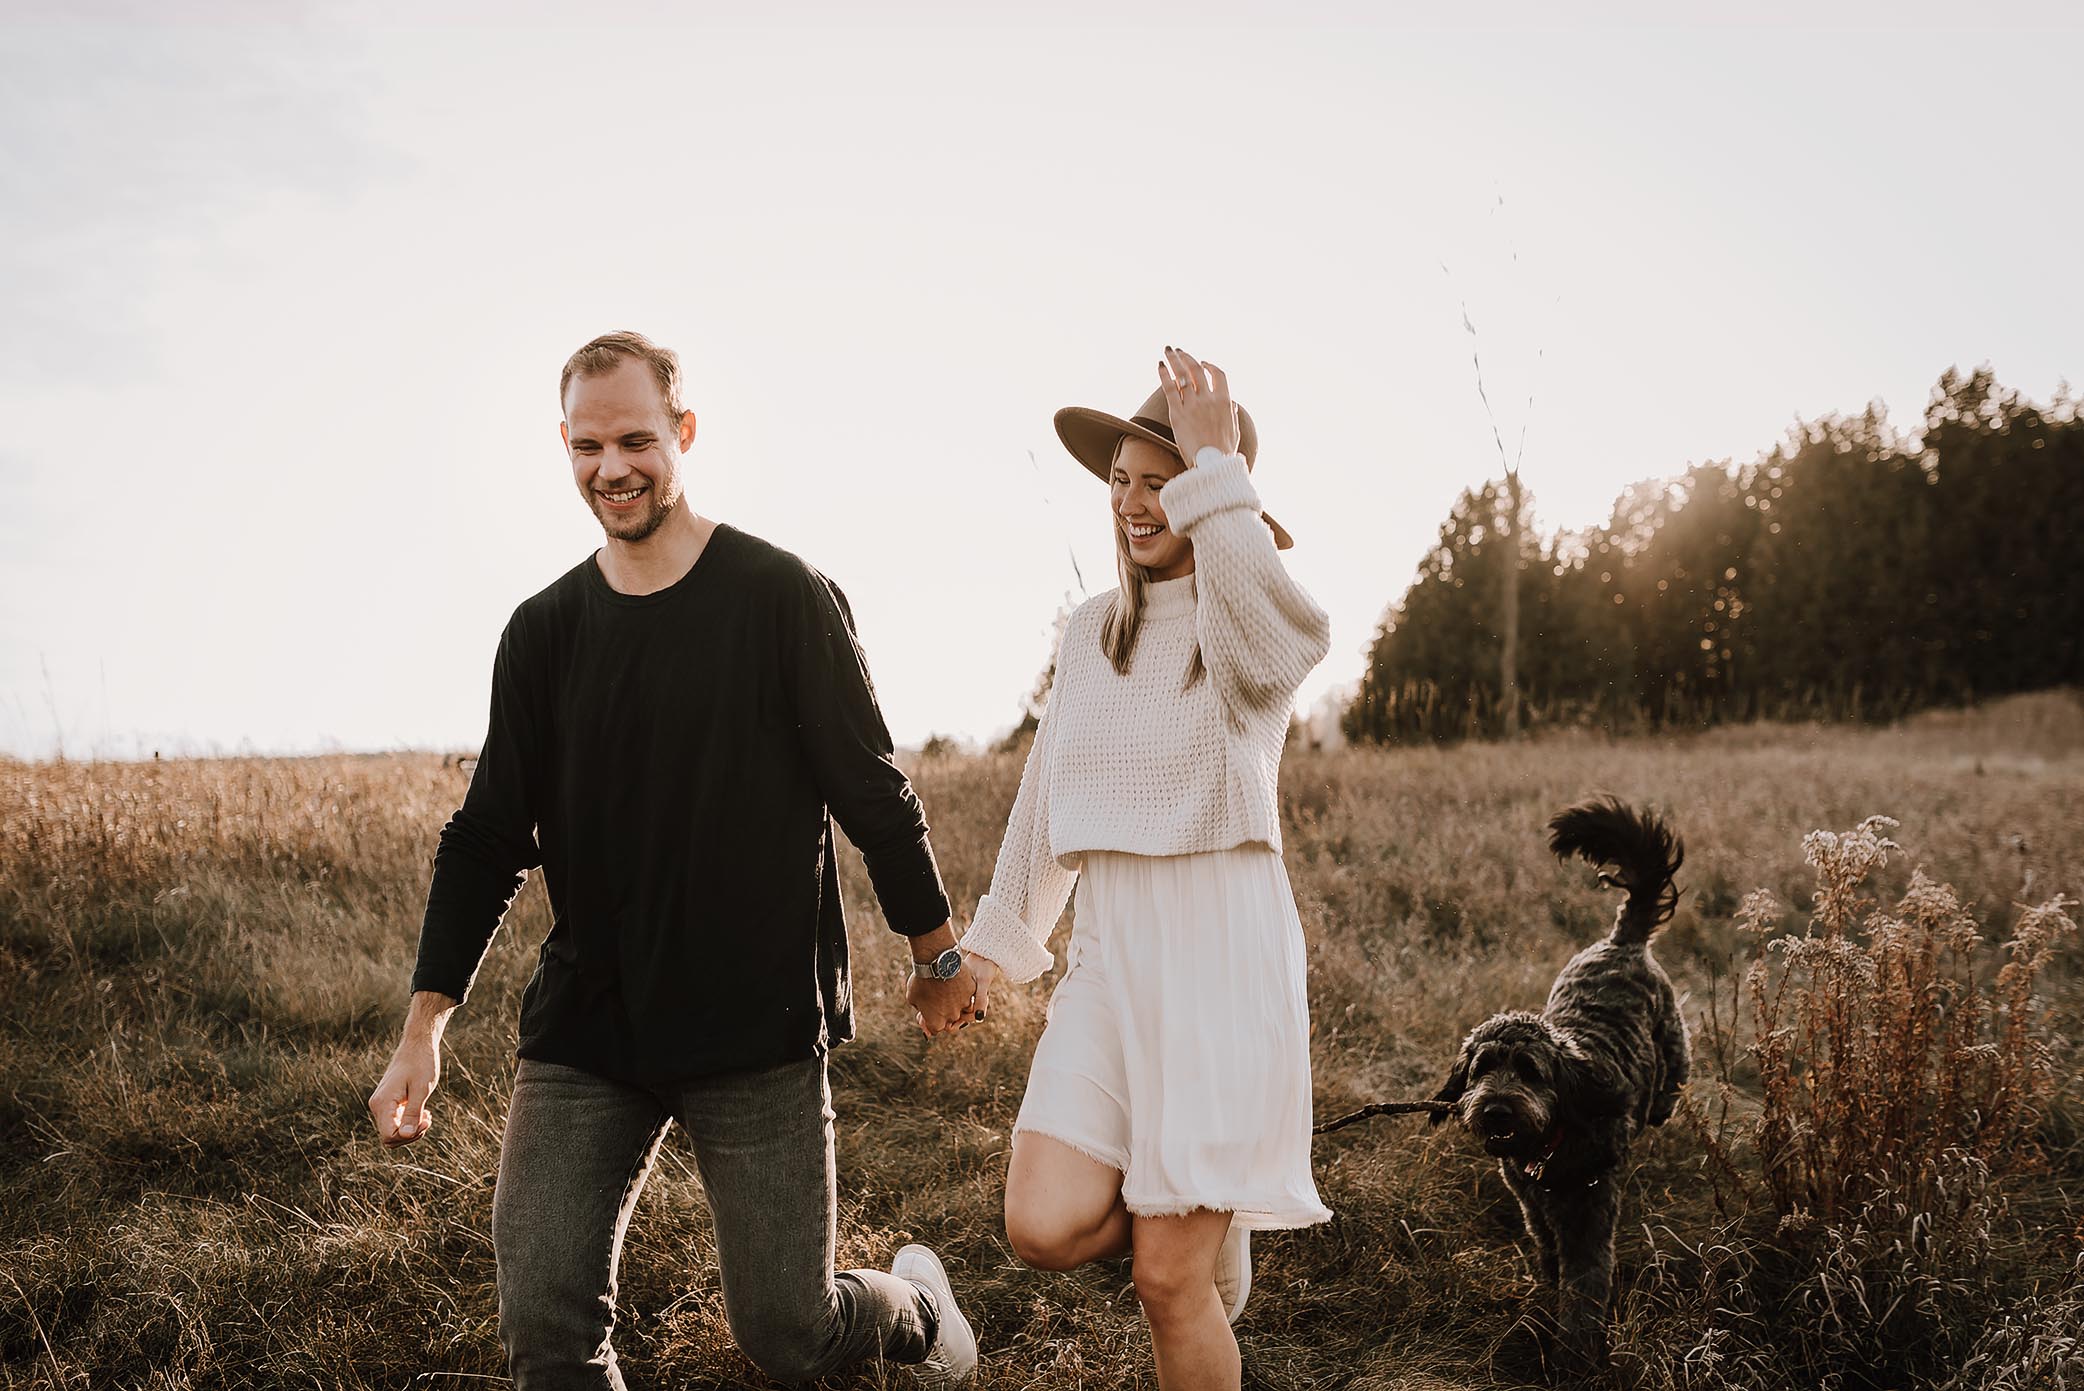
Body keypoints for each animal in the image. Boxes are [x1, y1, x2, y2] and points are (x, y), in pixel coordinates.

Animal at [1433, 800, 1692, 1368]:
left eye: (1531, 1071)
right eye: (1481, 1069)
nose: (1496, 1111)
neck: (1551, 1140)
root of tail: (1621, 942)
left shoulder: (1590, 1214)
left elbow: (1585, 1285)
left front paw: (1576, 1351)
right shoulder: (1532, 1204)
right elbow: (1550, 1257)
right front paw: (1550, 1291)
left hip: (1673, 1032)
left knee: (1677, 1071)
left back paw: (1661, 1102)